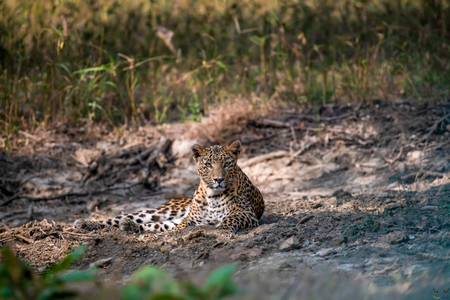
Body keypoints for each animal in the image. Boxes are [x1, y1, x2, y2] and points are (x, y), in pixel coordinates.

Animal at [74, 141, 264, 234]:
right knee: (117, 219)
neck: (213, 196)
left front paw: (222, 229)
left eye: (227, 164)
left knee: (154, 226)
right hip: (159, 211)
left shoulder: (248, 215)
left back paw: (129, 227)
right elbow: (181, 228)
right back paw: (85, 223)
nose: (218, 179)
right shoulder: (191, 220)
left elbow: (230, 219)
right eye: (208, 164)